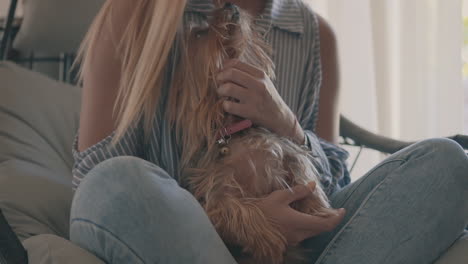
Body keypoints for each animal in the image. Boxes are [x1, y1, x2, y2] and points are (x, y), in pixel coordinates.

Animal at [170, 3, 338, 264]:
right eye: (200, 34)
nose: (230, 5)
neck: (236, 131)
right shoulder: (216, 195)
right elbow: (241, 212)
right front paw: (269, 241)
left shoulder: (287, 150)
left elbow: (303, 172)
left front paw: (319, 209)